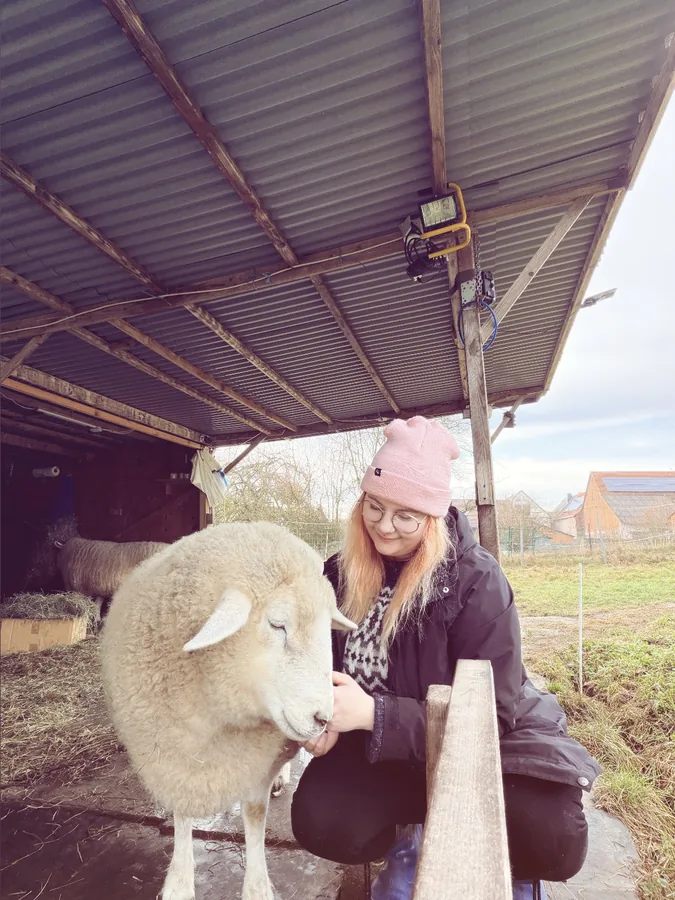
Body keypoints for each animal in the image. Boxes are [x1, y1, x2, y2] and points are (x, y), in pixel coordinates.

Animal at [99, 521, 355, 900]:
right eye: (277, 624)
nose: (324, 719)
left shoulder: (257, 756)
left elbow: (254, 811)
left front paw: (257, 887)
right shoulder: (171, 756)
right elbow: (181, 811)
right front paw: (179, 882)